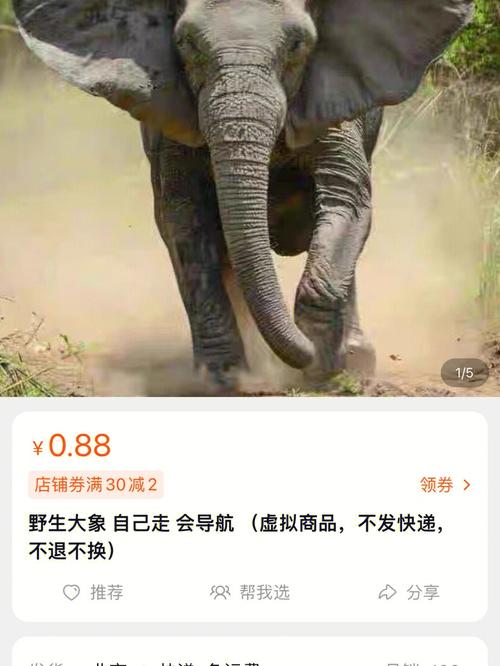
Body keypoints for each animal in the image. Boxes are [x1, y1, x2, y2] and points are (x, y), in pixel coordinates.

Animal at [13, 0, 472, 391]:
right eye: (186, 43)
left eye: (298, 44)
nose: (302, 359)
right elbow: (183, 218)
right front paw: (223, 377)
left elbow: (346, 199)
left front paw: (324, 368)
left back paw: (353, 365)